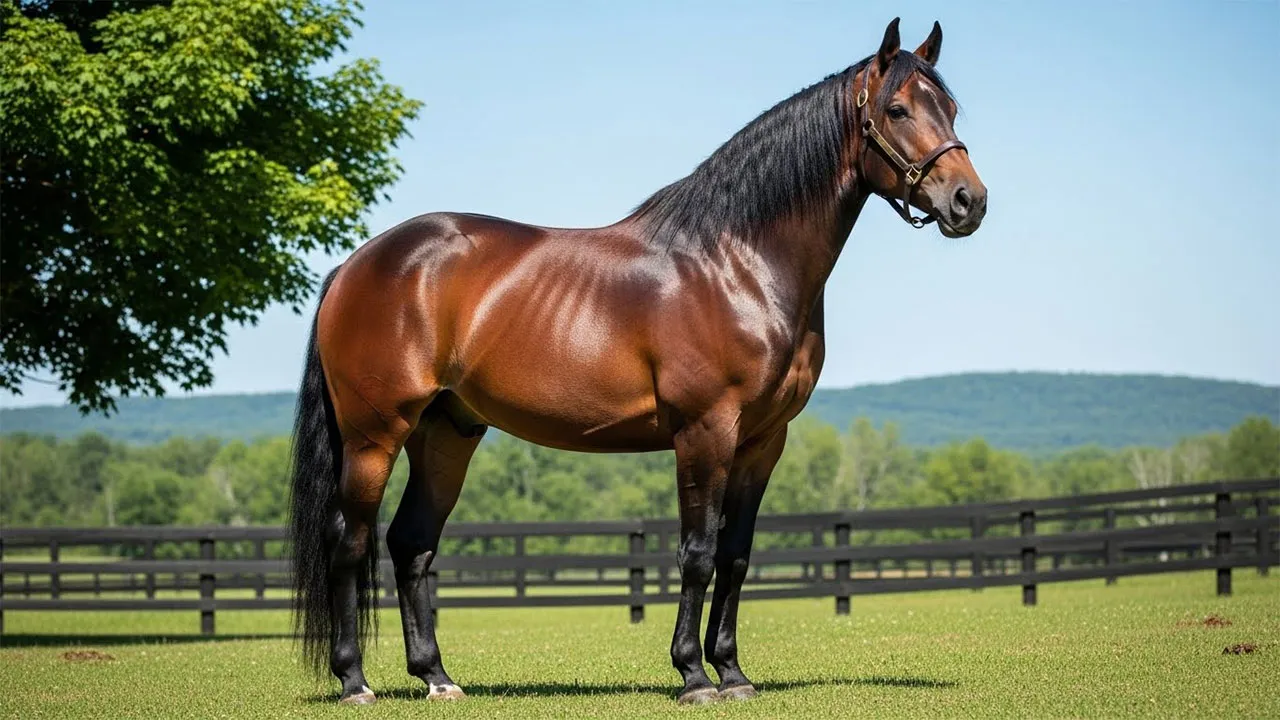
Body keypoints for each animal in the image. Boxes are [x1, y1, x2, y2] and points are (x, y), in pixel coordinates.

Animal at [287, 17, 987, 706]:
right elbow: (697, 552)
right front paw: (694, 677)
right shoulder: (705, 431)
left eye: (950, 108)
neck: (737, 265)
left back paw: (436, 677)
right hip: (375, 435)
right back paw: (354, 681)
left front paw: (734, 673)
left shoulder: (763, 440)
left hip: (446, 431)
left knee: (411, 544)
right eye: (896, 109)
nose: (968, 202)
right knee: (350, 542)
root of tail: (356, 263)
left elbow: (736, 554)